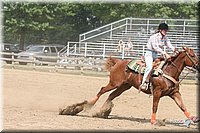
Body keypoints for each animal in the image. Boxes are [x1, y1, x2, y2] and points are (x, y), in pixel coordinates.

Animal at [59, 46, 198, 124]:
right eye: (192, 55)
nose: (198, 65)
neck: (167, 71)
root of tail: (118, 61)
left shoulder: (174, 93)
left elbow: (182, 106)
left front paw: (193, 118)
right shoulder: (157, 92)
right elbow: (155, 106)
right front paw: (154, 121)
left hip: (123, 86)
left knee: (111, 95)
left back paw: (102, 112)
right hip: (114, 83)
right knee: (102, 90)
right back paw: (88, 104)